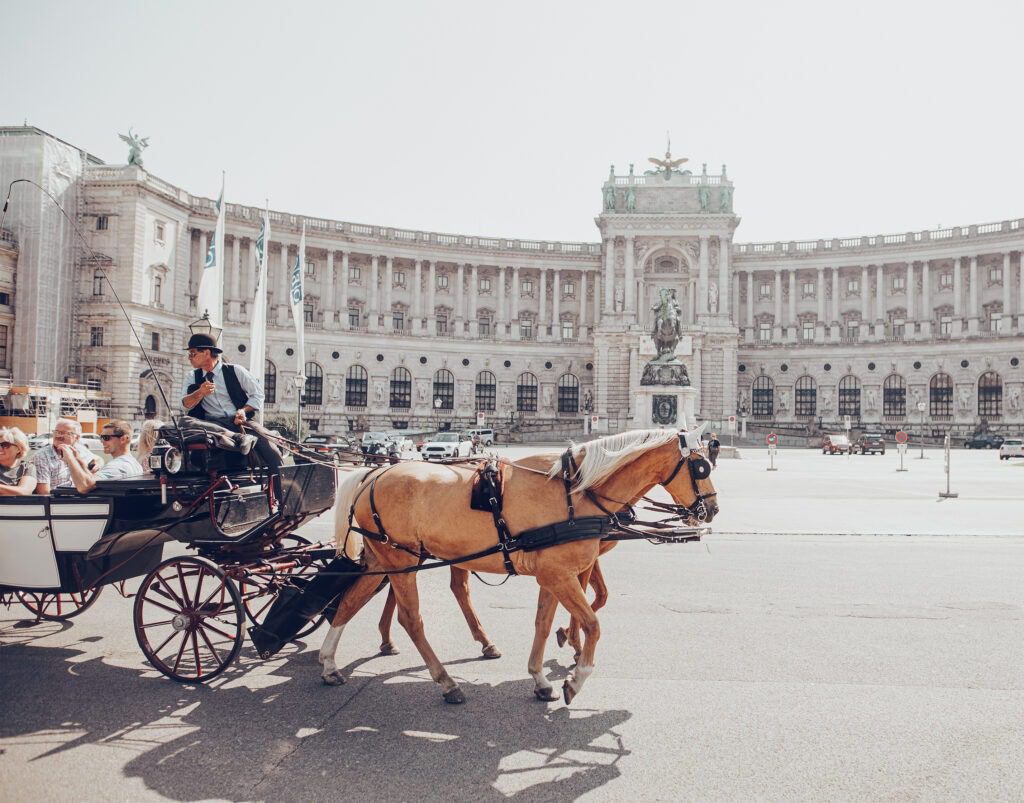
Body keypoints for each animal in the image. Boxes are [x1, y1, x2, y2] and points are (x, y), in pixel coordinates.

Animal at [317, 426, 712, 704]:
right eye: (700, 466)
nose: (713, 508)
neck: (576, 493)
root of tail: (373, 474)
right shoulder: (561, 574)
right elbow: (593, 621)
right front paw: (576, 676)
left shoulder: (554, 575)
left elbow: (544, 623)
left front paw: (541, 677)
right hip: (402, 558)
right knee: (411, 618)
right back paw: (446, 682)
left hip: (386, 557)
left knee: (352, 600)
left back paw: (330, 664)